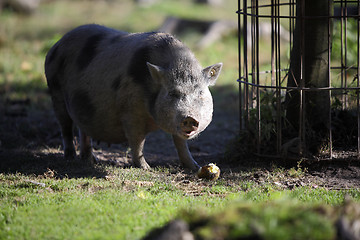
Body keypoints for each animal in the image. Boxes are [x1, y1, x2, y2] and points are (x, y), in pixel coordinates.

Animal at [43, 24, 221, 171]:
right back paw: (70, 158)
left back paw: (91, 160)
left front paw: (195, 167)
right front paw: (147, 168)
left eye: (200, 93)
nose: (189, 118)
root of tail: (56, 45)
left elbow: (180, 143)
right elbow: (137, 141)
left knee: (82, 129)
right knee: (65, 127)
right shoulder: (130, 111)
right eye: (172, 93)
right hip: (55, 92)